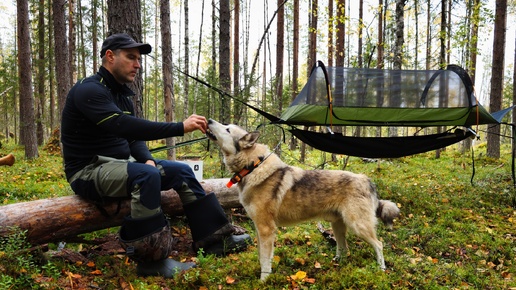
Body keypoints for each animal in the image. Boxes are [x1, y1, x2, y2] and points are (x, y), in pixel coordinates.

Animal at [206, 119, 400, 280]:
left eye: (227, 129)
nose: (208, 120)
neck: (252, 166)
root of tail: (366, 179)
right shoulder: (259, 229)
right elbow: (261, 256)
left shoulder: (266, 229)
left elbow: (265, 260)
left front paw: (263, 281)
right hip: (338, 226)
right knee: (344, 248)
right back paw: (337, 264)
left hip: (358, 226)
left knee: (379, 244)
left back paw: (381, 269)